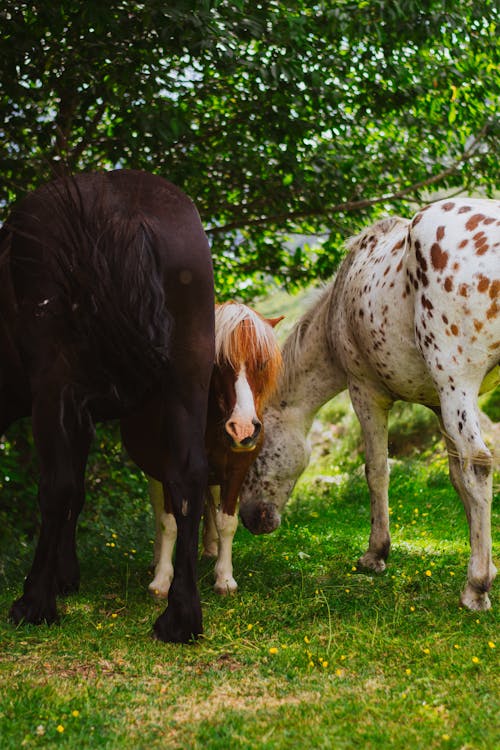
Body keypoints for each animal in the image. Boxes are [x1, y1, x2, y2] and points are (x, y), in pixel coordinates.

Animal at [0, 170, 215, 648]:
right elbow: (79, 491)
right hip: (188, 377)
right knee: (187, 481)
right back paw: (180, 618)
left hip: (55, 387)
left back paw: (34, 603)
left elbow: (66, 489)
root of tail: (126, 210)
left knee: (55, 487)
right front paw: (67, 576)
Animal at [120, 302, 282, 604]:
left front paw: (224, 577)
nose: (243, 429)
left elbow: (226, 521)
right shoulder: (169, 471)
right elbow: (169, 522)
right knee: (159, 507)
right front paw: (162, 579)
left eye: (263, 362)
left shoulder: (235, 471)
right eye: (217, 364)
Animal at [240, 198, 498, 612]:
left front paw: (376, 553)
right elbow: (457, 478)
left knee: (479, 463)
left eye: (255, 447)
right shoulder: (440, 406)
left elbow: (377, 471)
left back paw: (475, 589)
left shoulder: (366, 392)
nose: (252, 520)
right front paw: (486, 564)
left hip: (456, 381)